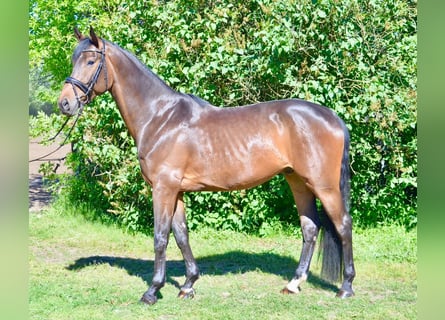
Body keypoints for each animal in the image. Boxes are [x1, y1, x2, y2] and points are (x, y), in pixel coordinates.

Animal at [57, 27, 356, 304]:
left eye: (91, 61)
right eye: (73, 59)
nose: (65, 103)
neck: (160, 118)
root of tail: (332, 117)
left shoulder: (163, 188)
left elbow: (160, 237)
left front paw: (152, 291)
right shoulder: (176, 191)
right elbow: (181, 235)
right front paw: (188, 284)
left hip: (324, 186)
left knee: (343, 225)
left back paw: (346, 287)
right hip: (297, 181)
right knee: (310, 228)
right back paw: (293, 284)